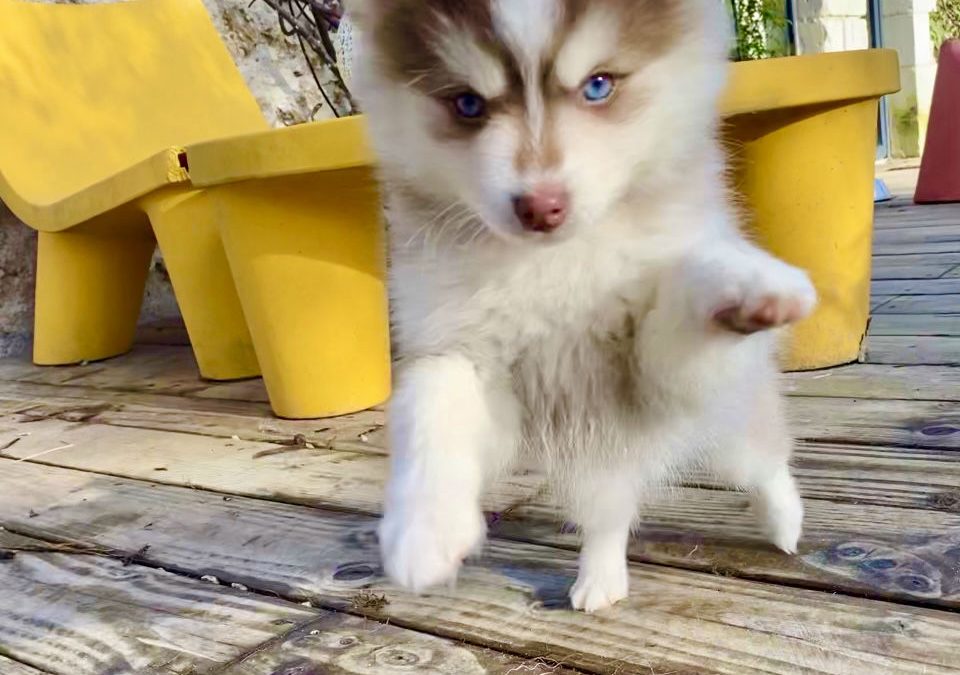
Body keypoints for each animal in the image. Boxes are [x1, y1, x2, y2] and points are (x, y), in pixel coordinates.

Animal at [348, 0, 812, 612]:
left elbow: (681, 300)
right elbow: (433, 396)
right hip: (596, 459)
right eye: (467, 103)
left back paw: (785, 522)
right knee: (608, 516)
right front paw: (423, 529)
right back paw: (600, 578)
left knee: (762, 459)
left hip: (726, 413)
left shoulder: (647, 368)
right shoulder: (462, 347)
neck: (553, 266)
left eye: (598, 85)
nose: (541, 206)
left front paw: (740, 286)